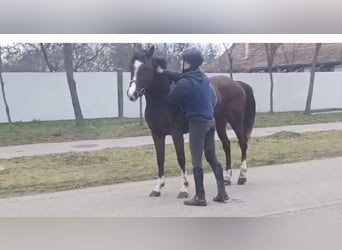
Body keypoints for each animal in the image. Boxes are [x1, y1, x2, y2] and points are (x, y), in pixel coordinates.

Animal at [127, 46, 255, 198]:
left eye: (146, 68)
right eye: (131, 67)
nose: (131, 94)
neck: (163, 99)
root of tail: (237, 84)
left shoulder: (176, 134)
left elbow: (181, 158)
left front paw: (184, 188)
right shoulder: (157, 134)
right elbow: (160, 159)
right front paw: (157, 188)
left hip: (235, 121)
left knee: (243, 143)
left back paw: (242, 176)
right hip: (220, 123)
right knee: (226, 145)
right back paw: (227, 178)